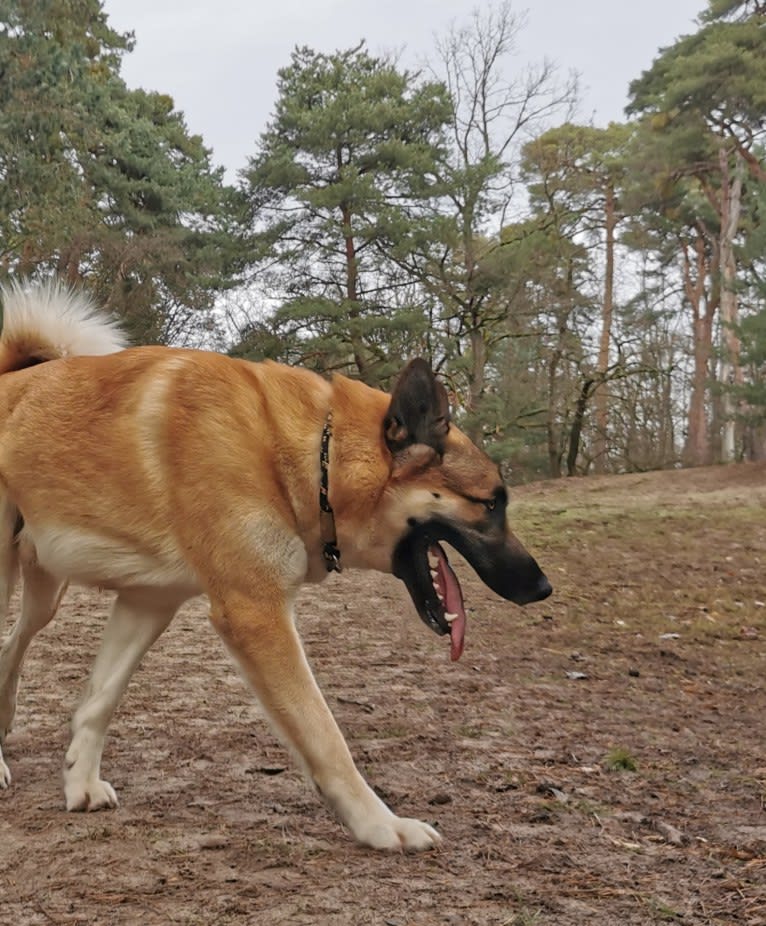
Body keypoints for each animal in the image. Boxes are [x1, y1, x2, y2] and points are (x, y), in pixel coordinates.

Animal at [0, 280, 552, 848]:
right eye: (492, 503)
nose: (542, 587)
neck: (314, 457)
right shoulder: (256, 614)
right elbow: (324, 734)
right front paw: (381, 825)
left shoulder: (149, 602)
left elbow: (100, 699)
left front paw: (80, 783)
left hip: (46, 592)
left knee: (11, 644)